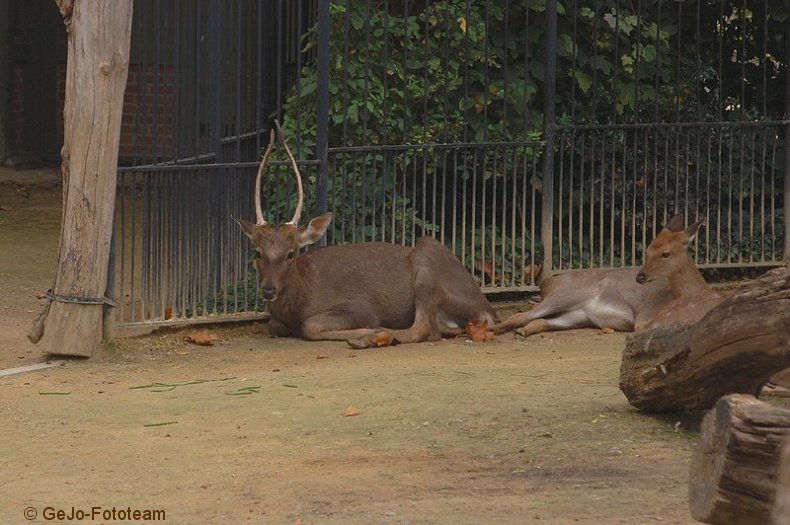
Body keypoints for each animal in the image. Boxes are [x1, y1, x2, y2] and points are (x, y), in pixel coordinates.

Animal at [234, 123, 502, 348]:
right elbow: (273, 325)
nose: (269, 290)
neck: (303, 296)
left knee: (424, 328)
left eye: (291, 254)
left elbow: (310, 325)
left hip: (426, 262)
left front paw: (368, 331)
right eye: (257, 252)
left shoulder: (360, 307)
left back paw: (376, 335)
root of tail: (486, 308)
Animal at [496, 215, 724, 338]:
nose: (640, 276)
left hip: (578, 315)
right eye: (647, 249)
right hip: (565, 295)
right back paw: (494, 330)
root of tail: (546, 284)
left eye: (665, 253)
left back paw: (521, 332)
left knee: (540, 321)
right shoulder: (645, 318)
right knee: (520, 315)